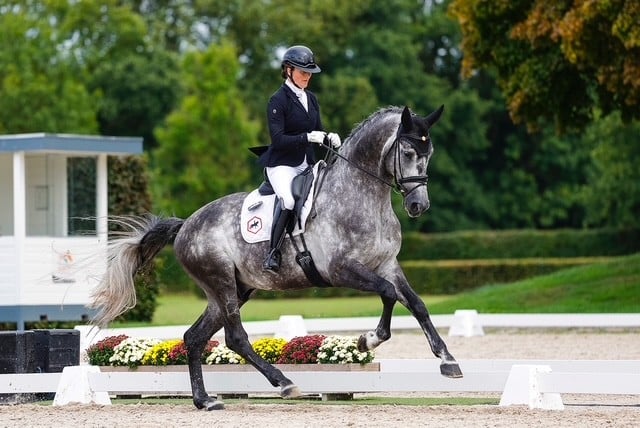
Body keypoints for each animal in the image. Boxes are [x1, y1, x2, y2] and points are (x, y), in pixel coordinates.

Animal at [89, 105, 463, 410]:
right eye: (409, 151)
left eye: (430, 153)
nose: (418, 206)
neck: (362, 195)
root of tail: (185, 225)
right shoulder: (342, 270)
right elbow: (387, 293)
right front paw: (367, 339)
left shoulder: (386, 264)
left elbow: (416, 304)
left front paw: (448, 361)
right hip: (221, 282)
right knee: (235, 337)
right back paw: (283, 383)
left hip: (233, 289)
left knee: (194, 338)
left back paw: (205, 400)